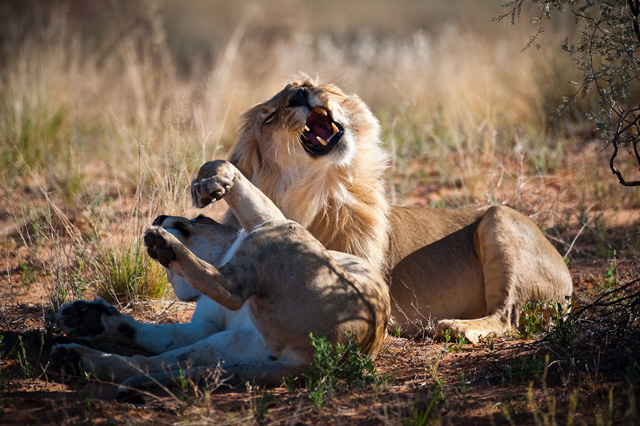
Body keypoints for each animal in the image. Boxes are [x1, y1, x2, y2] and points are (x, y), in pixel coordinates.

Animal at [51, 160, 390, 400]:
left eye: (201, 218)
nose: (160, 216)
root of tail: (322, 361)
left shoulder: (272, 220)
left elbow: (236, 179)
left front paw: (215, 183)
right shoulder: (207, 326)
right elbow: (158, 335)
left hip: (279, 236)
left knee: (229, 293)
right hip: (234, 343)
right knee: (169, 356)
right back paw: (83, 331)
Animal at [214, 80, 568, 342]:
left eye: (306, 84)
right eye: (269, 117)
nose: (301, 93)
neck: (322, 193)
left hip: (499, 216)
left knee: (508, 315)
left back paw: (455, 327)